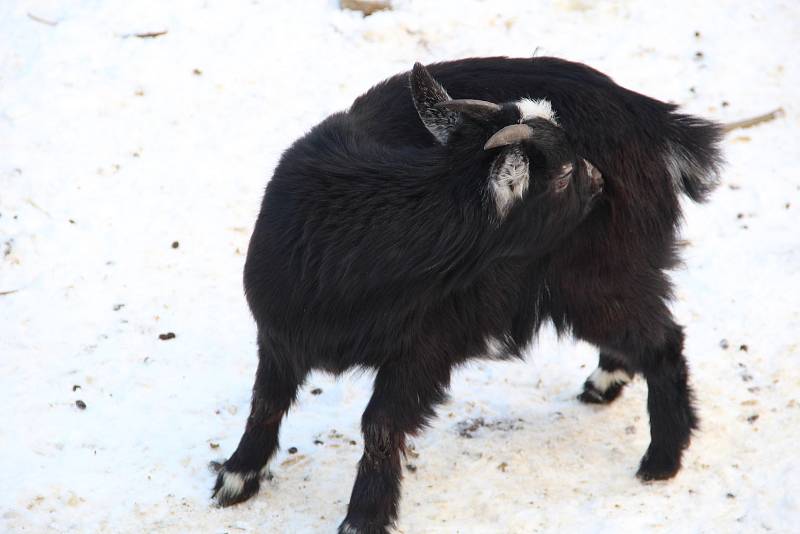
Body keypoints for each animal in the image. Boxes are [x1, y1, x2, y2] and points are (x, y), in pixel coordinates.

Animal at [212, 56, 724, 532]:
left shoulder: (426, 348)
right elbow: (265, 403)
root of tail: (657, 125)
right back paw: (606, 385)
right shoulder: (279, 336)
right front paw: (236, 478)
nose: (599, 181)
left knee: (662, 342)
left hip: (599, 275)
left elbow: (379, 426)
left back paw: (661, 459)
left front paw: (363, 517)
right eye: (562, 175)